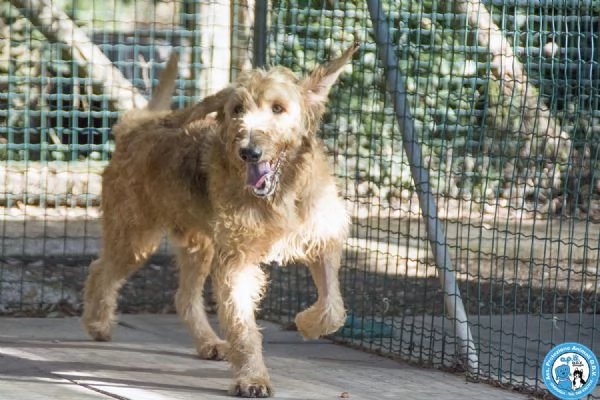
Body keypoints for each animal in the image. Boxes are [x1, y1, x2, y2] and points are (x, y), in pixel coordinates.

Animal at [81, 41, 358, 396]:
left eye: (278, 108)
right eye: (237, 109)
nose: (249, 152)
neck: (280, 195)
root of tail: (138, 124)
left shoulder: (323, 240)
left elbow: (333, 307)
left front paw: (307, 325)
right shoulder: (236, 261)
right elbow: (242, 325)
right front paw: (252, 378)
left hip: (198, 246)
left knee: (184, 297)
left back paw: (208, 342)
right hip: (135, 239)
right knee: (100, 270)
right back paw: (97, 322)